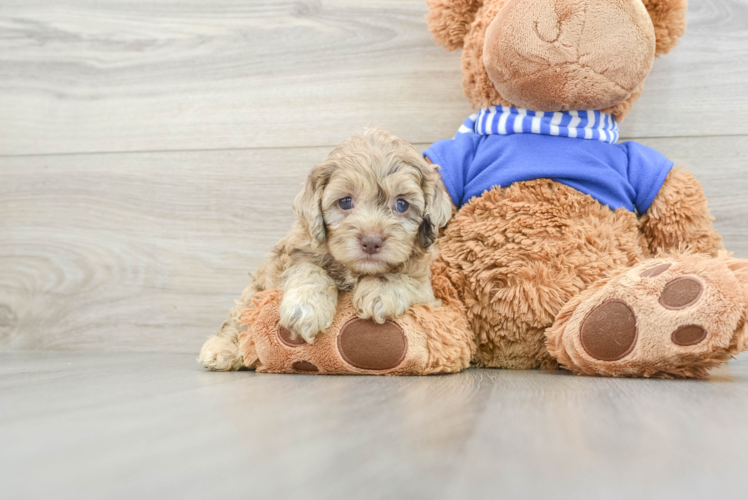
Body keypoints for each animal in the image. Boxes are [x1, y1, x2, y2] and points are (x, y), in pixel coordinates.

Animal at [199, 129, 452, 372]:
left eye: (402, 204)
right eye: (345, 202)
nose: (371, 241)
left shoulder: (427, 291)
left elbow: (405, 278)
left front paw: (380, 291)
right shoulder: (294, 254)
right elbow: (309, 270)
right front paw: (305, 309)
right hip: (256, 290)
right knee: (239, 318)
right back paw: (222, 349)